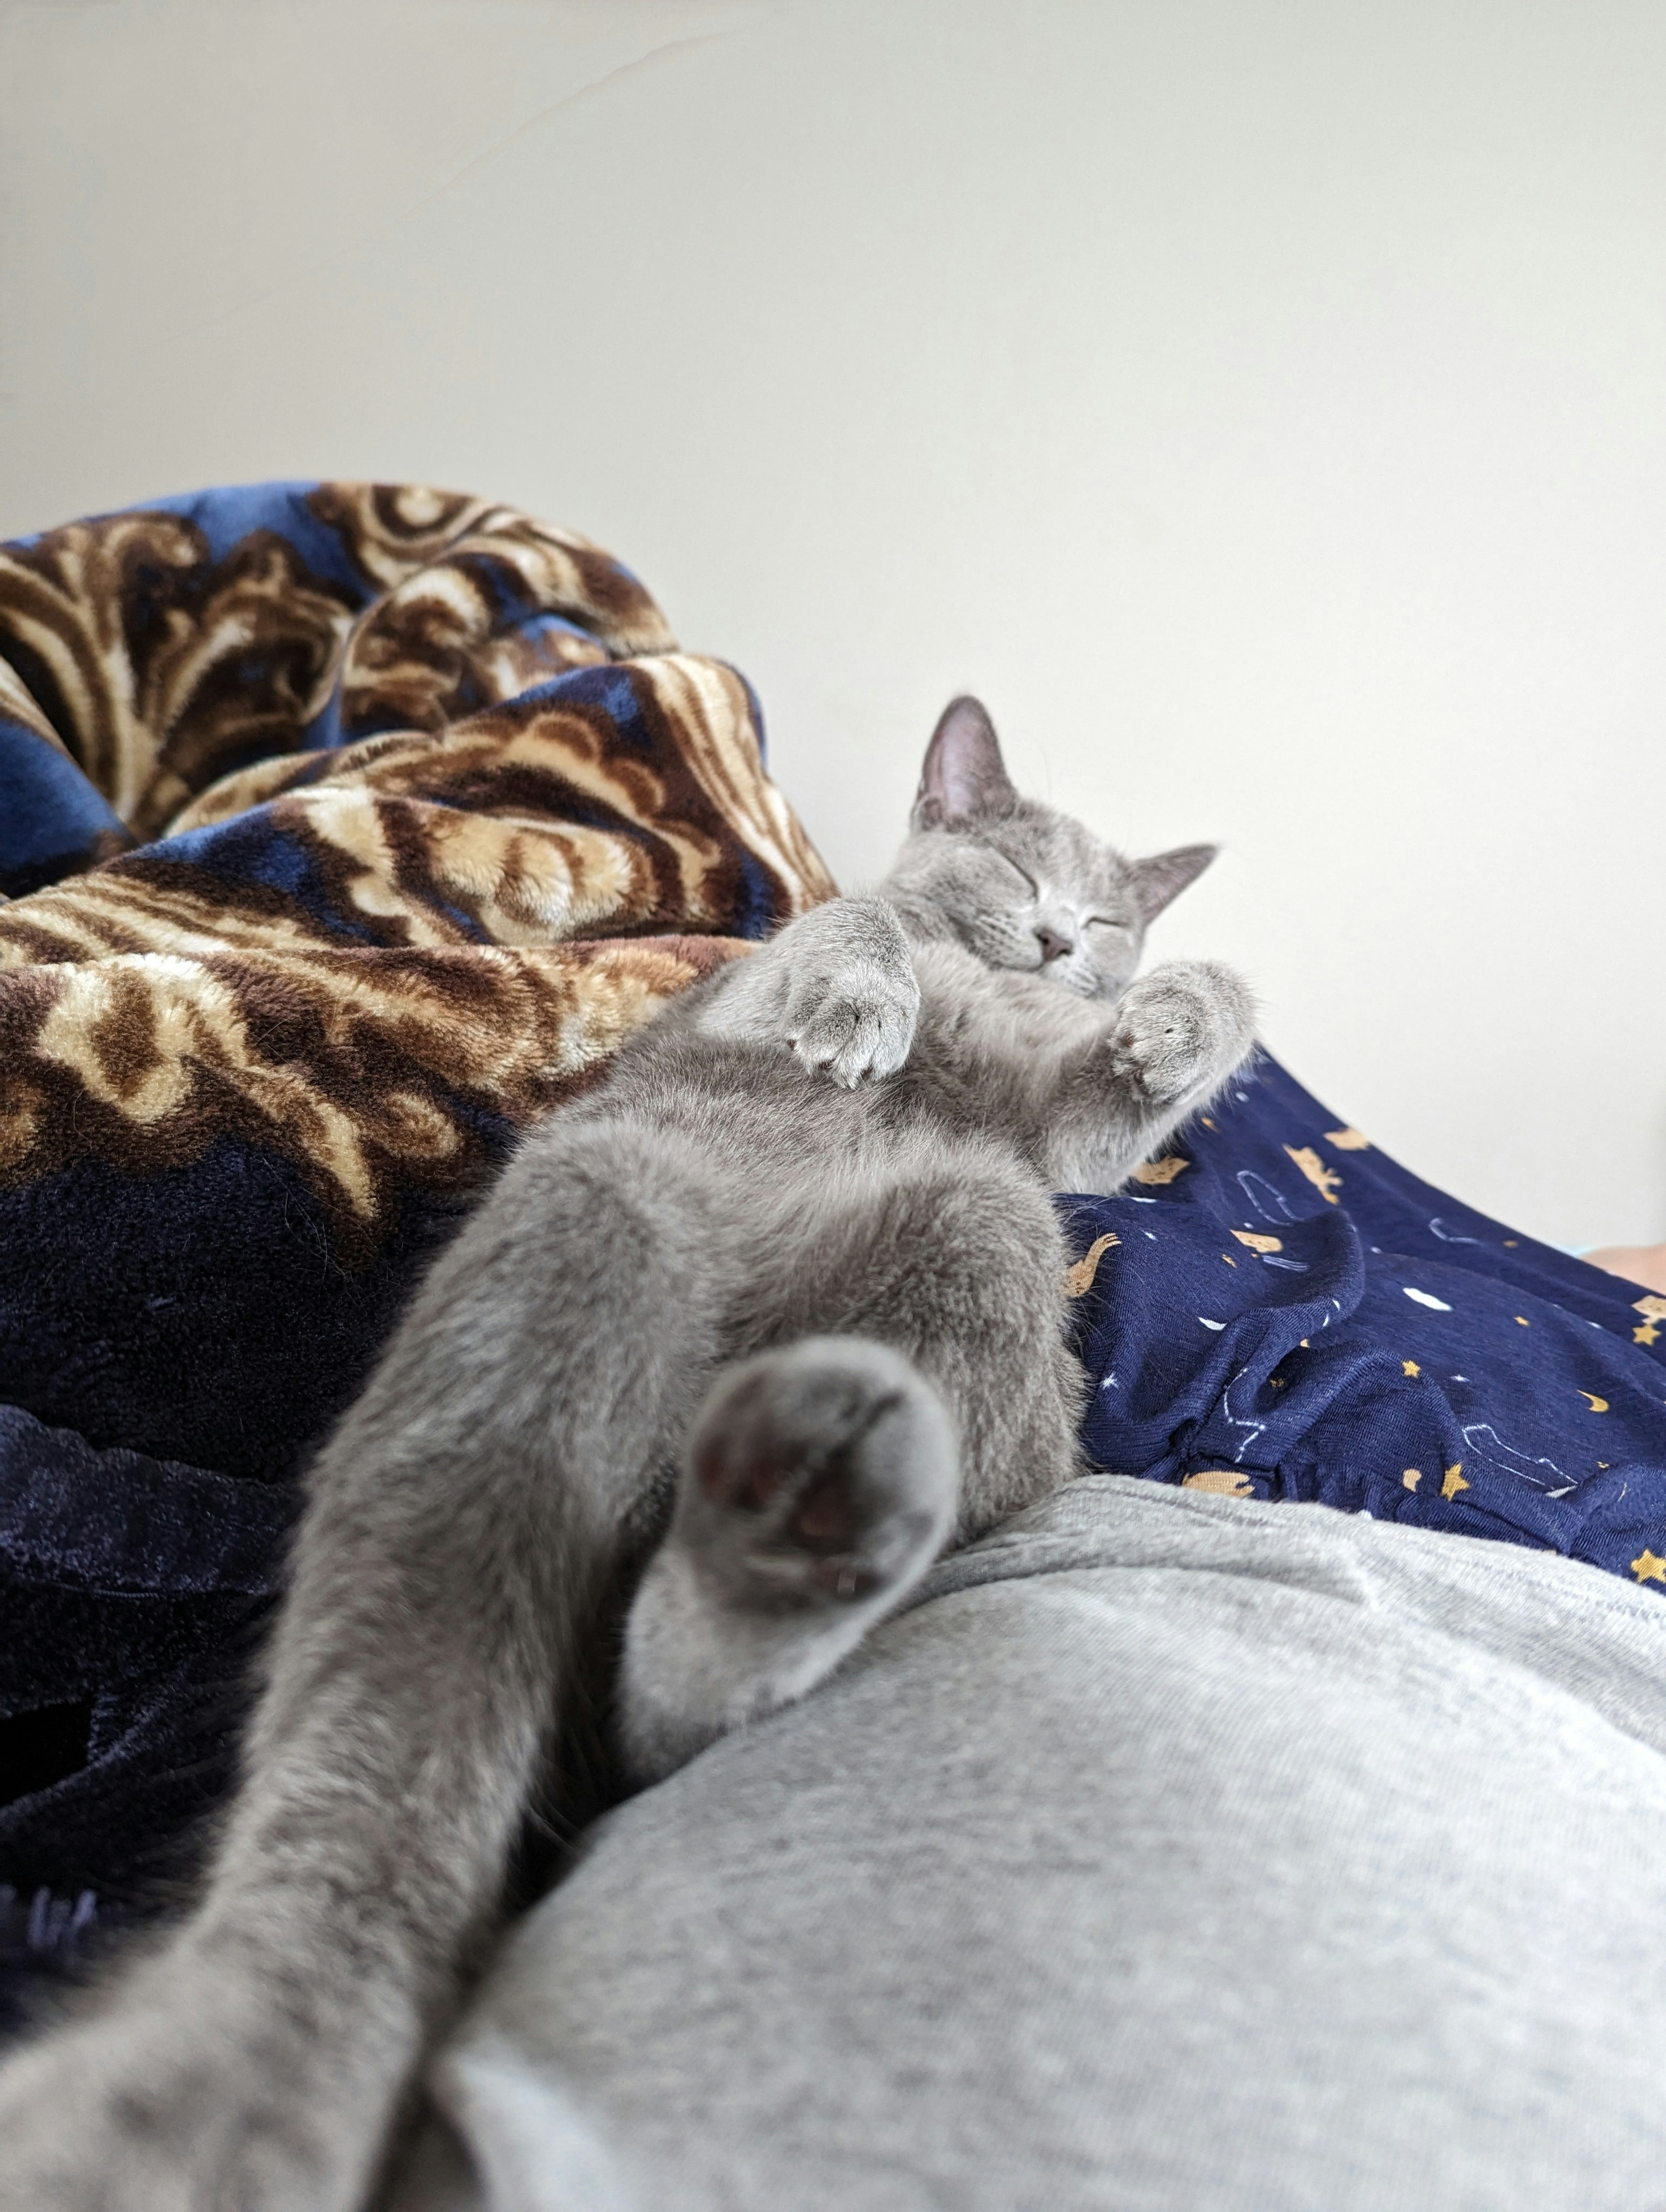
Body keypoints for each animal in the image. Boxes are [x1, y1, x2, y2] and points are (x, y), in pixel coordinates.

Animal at [0, 694, 1256, 2212]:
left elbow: (1120, 1090)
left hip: (978, 1226)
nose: (1068, 940)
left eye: (1108, 913)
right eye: (1016, 871)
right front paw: (863, 1011)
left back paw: (796, 1521)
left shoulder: (1047, 1133)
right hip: (585, 1230)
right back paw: (212, 2088)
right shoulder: (752, 983)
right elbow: (851, 930)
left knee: (656, 1720)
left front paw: (1176, 1020)